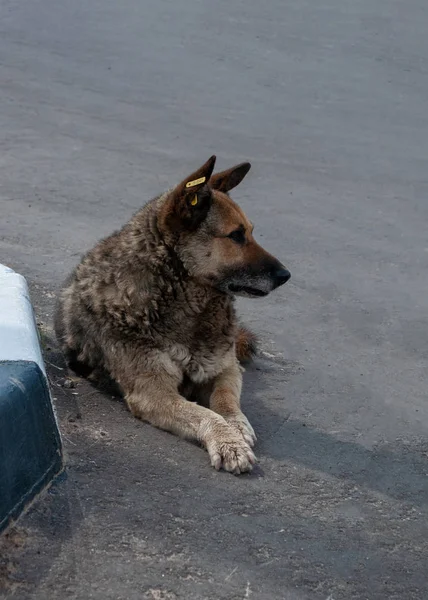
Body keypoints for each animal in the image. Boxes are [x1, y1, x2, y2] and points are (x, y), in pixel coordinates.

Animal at [54, 156, 290, 474]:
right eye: (236, 236)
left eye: (250, 232)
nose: (285, 276)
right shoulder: (155, 394)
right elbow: (204, 414)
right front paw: (228, 441)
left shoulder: (226, 368)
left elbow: (225, 400)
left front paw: (237, 427)